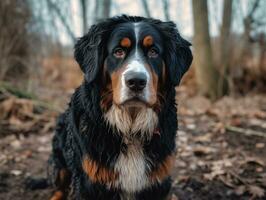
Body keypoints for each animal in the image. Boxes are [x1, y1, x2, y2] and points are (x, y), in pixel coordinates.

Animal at [48, 14, 192, 199]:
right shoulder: (87, 181)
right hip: (60, 161)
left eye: (153, 51)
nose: (136, 81)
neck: (130, 130)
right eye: (118, 51)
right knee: (59, 187)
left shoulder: (158, 179)